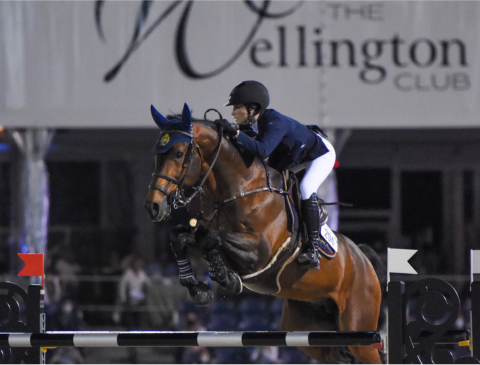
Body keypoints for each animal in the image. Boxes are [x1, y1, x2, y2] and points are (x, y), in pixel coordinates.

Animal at [142, 104, 382, 362]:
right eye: (156, 154)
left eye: (178, 154)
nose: (153, 206)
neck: (238, 189)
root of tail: (364, 260)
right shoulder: (205, 227)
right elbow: (181, 237)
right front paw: (198, 289)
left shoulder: (260, 252)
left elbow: (211, 239)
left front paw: (226, 279)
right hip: (309, 329)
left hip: (361, 333)